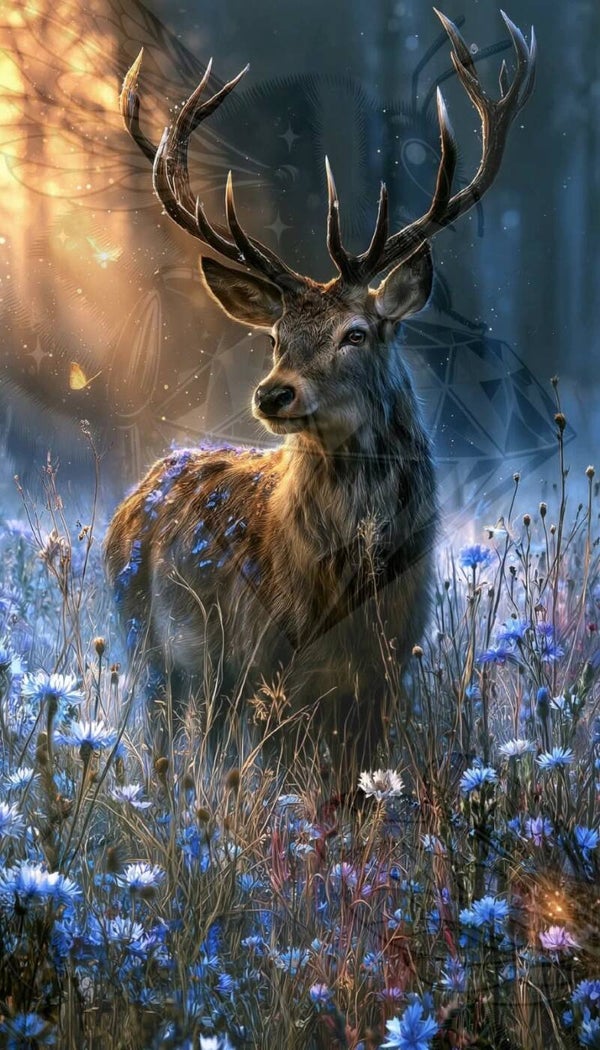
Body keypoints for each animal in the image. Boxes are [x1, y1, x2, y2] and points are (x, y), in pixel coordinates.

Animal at [105, 11, 536, 782]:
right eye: (276, 335)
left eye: (356, 333)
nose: (273, 394)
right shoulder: (262, 667)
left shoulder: (387, 676)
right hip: (153, 650)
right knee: (169, 746)